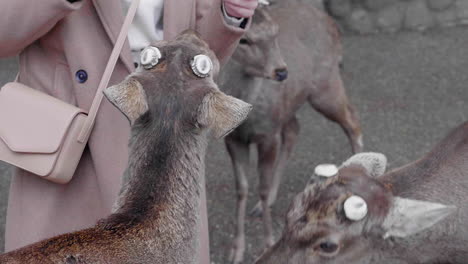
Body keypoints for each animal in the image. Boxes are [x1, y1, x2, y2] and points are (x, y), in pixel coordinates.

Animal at [219, 1, 362, 262]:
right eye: (244, 40)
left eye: (275, 34)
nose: (282, 72)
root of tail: (330, 22)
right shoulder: (233, 139)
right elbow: (242, 189)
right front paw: (236, 251)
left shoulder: (268, 134)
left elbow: (262, 188)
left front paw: (267, 244)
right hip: (291, 105)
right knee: (296, 128)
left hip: (326, 86)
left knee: (352, 119)